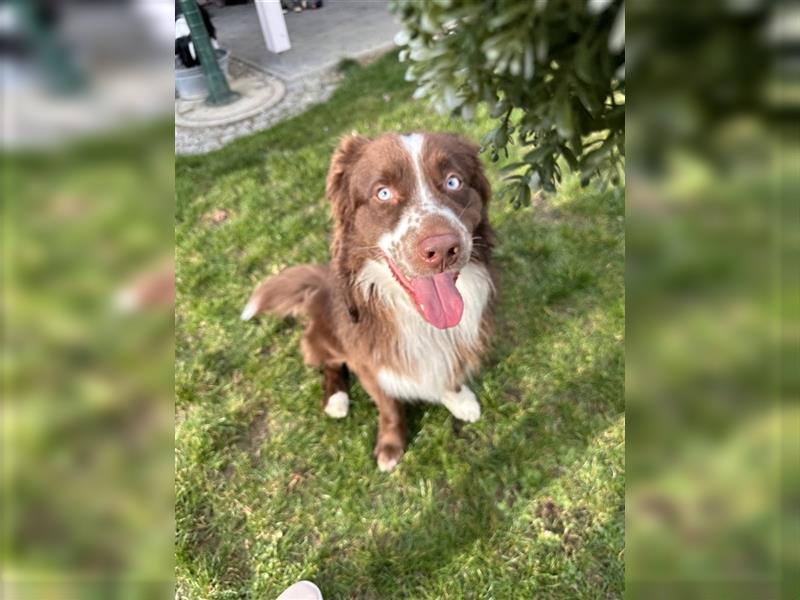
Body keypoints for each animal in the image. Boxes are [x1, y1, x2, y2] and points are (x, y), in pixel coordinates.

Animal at [241, 132, 496, 474]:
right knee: (330, 365)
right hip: (324, 341)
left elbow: (448, 370)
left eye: (453, 181)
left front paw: (460, 400)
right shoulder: (368, 363)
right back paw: (336, 400)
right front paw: (390, 446)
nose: (443, 249)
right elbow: (389, 408)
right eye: (383, 193)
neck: (416, 317)